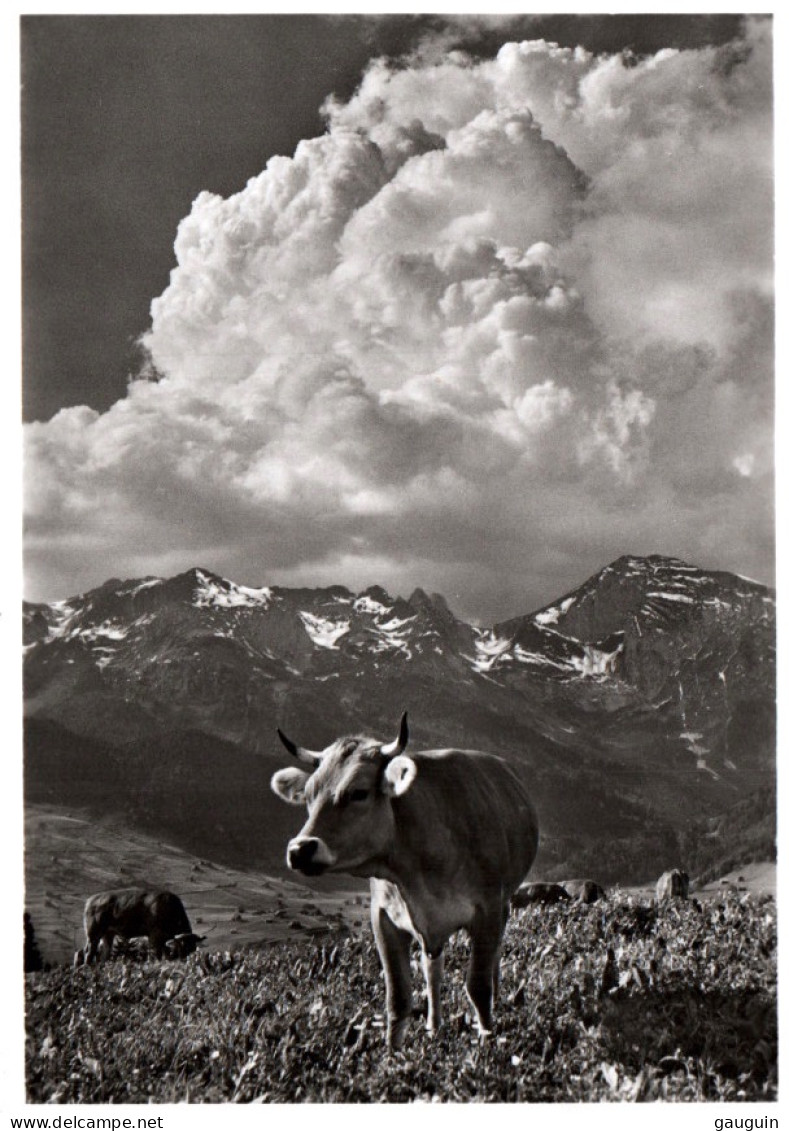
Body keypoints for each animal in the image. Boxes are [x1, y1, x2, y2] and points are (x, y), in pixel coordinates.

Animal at [267, 710, 538, 1045]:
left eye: (358, 792)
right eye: (308, 795)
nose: (300, 850)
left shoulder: (487, 910)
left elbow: (478, 986)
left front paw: (488, 1042)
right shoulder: (384, 918)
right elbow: (398, 1001)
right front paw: (392, 1056)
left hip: (504, 903)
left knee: (493, 957)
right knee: (432, 968)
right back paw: (434, 1026)